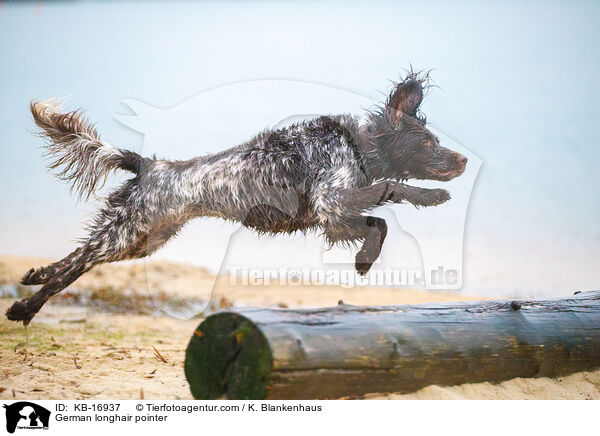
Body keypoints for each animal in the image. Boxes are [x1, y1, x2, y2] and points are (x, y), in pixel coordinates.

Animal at [3, 71, 464, 324]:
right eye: (427, 143)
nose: (461, 160)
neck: (356, 144)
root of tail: (149, 165)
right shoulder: (331, 201)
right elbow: (389, 193)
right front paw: (424, 203)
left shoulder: (332, 218)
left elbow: (381, 216)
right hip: (126, 234)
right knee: (75, 266)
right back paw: (25, 308)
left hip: (141, 241)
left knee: (75, 258)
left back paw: (34, 275)